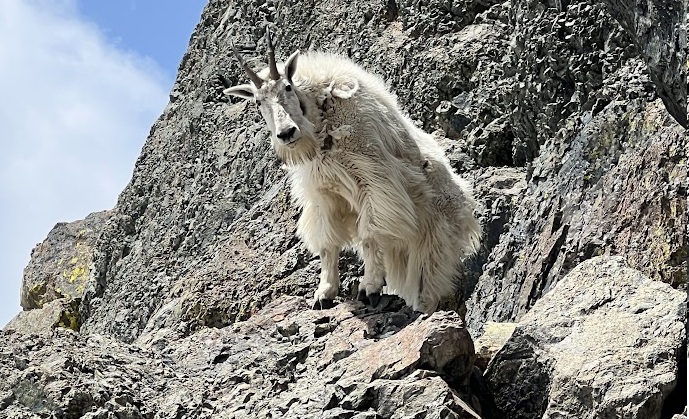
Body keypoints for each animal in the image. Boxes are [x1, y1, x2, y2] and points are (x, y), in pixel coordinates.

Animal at [224, 30, 481, 313]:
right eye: (258, 101)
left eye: (287, 87)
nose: (286, 133)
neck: (320, 120)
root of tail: (466, 206)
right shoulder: (323, 194)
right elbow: (327, 244)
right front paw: (324, 294)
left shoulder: (374, 181)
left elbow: (370, 235)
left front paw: (370, 288)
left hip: (434, 238)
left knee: (428, 280)